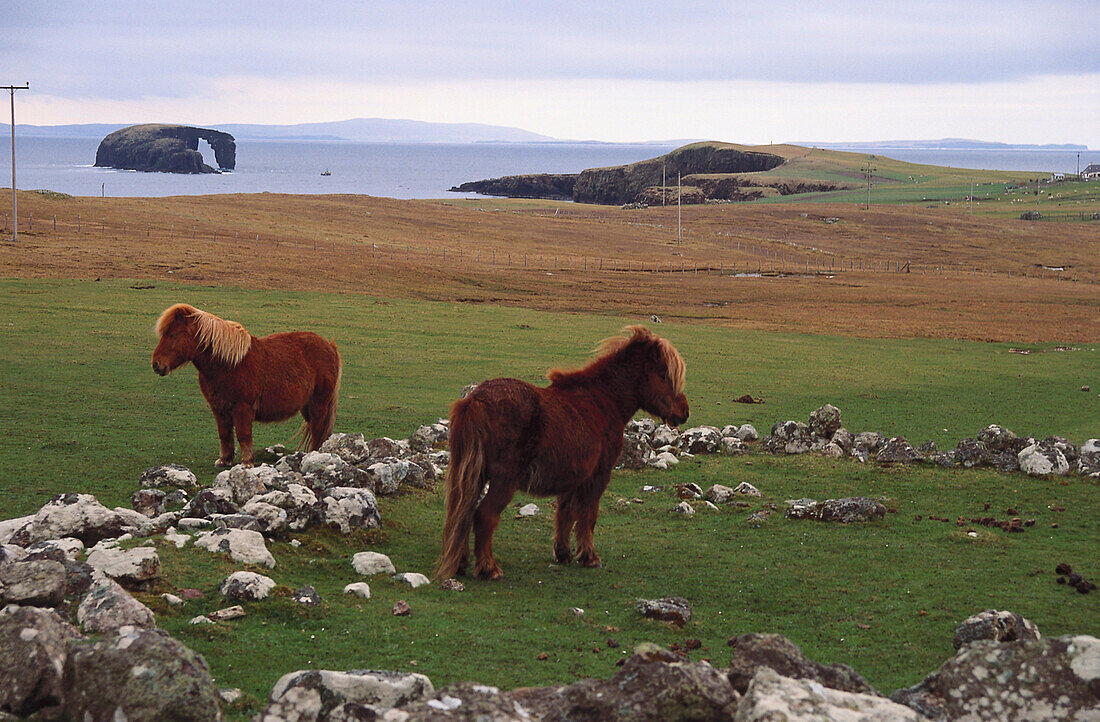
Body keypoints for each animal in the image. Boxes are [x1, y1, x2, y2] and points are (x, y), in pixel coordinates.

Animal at [150, 303, 338, 468]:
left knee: (317, 428)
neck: (228, 364)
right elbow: (224, 434)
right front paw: (224, 460)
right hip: (307, 406)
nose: (156, 365)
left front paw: (246, 462)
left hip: (319, 403)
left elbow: (243, 434)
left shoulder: (242, 408)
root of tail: (329, 346)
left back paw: (313, 455)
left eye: (173, 335)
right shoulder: (218, 408)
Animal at [435, 327, 686, 581]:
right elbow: (588, 516)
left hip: (474, 478)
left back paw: (461, 563)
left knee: (462, 515)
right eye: (664, 375)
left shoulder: (572, 479)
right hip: (503, 481)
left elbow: (565, 515)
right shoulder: (598, 477)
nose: (684, 412)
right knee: (484, 516)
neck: (603, 400)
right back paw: (489, 568)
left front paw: (563, 553)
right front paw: (589, 557)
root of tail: (476, 399)